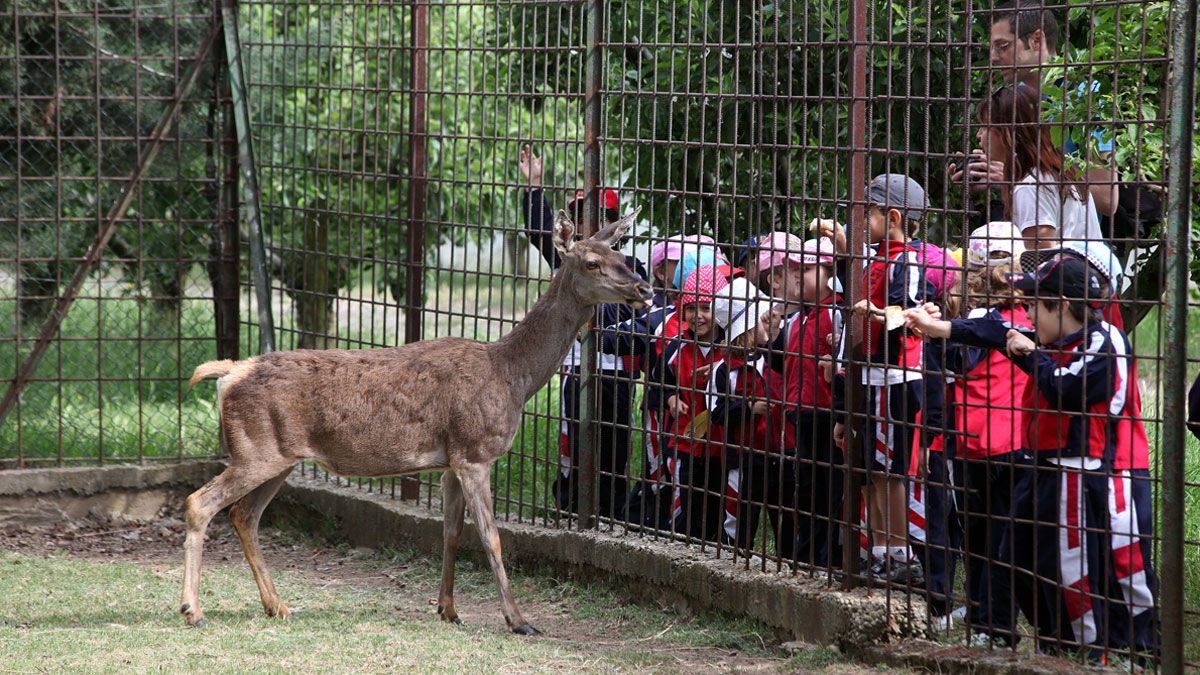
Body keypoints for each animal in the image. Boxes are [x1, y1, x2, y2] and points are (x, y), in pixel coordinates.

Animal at [182, 207, 652, 634]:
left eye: (619, 253)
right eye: (591, 262)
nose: (644, 288)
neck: (513, 376)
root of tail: (229, 373)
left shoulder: (450, 462)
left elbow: (451, 533)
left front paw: (448, 609)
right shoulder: (475, 451)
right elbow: (492, 537)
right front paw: (519, 621)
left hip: (280, 456)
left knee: (244, 515)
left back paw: (277, 606)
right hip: (256, 450)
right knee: (200, 502)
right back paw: (194, 610)